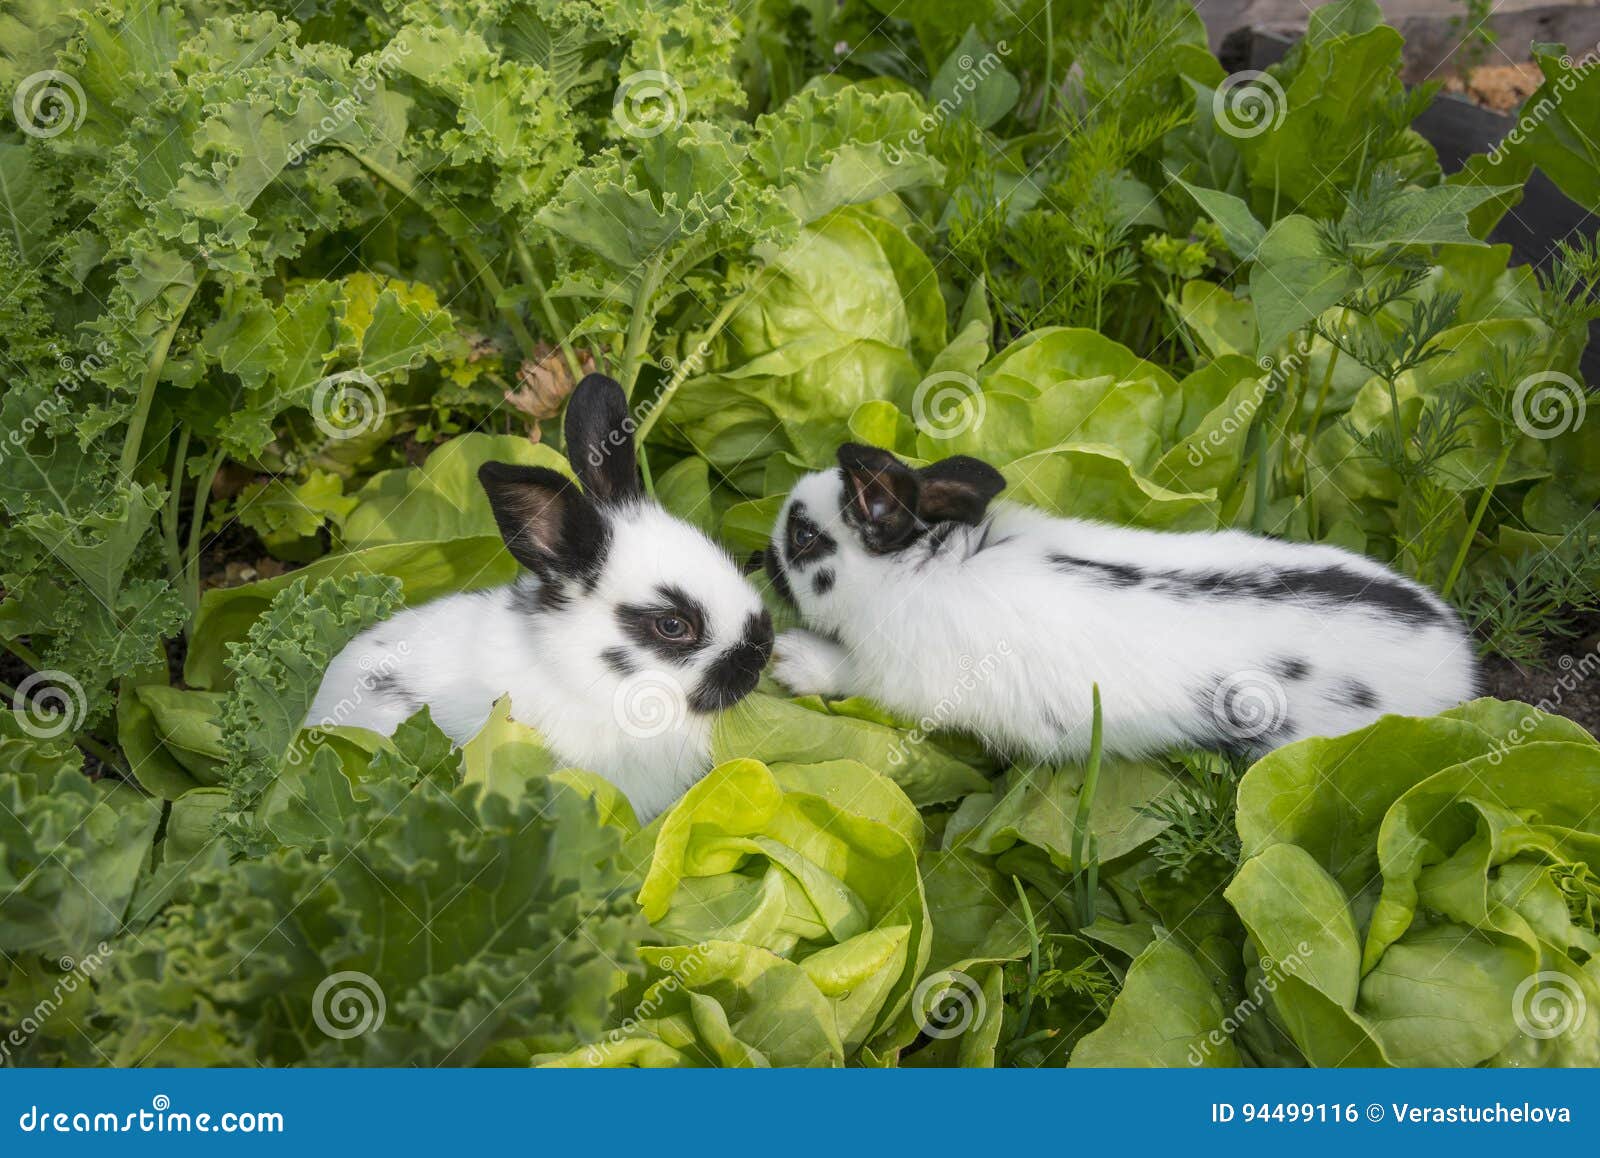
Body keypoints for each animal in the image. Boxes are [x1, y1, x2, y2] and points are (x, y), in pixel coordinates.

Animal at [764, 442, 1478, 763]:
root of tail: (1459, 667)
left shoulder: (898, 678)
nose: (763, 552)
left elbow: (847, 674)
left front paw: (790, 660)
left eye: (803, 536)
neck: (919, 569)